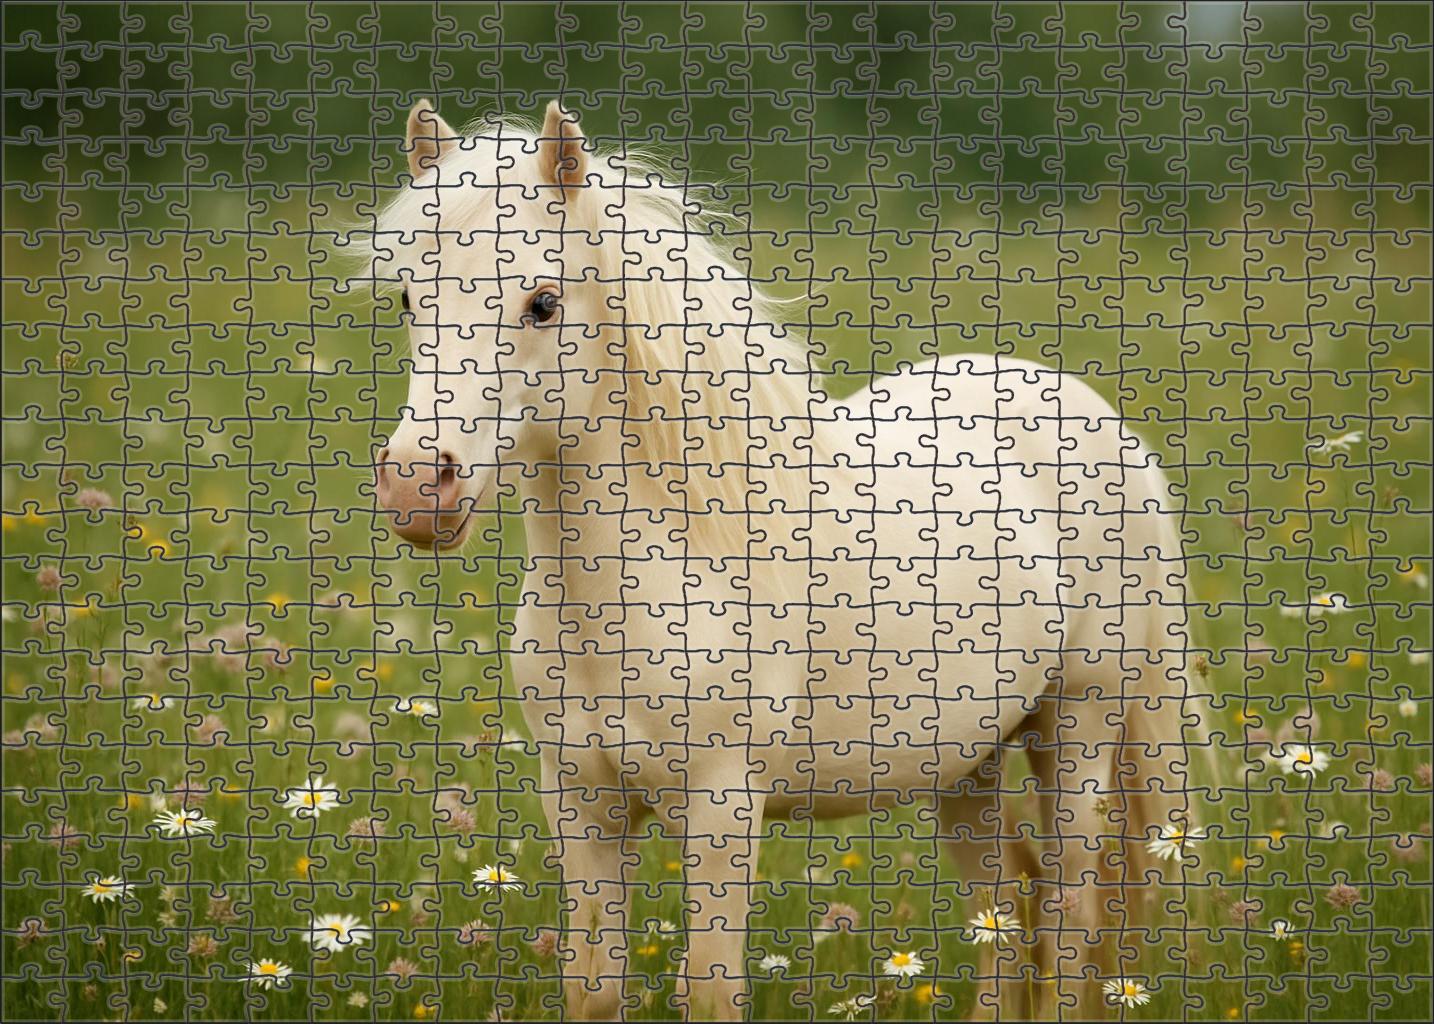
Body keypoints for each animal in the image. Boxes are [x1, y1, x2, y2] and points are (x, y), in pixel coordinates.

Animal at [355, 100, 1203, 1021]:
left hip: (1080, 727)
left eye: (542, 302)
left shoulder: (725, 808)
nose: (416, 488)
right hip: (967, 763)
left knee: (1074, 908)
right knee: (1009, 909)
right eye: (408, 297)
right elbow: (594, 986)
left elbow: (710, 989)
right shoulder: (581, 803)